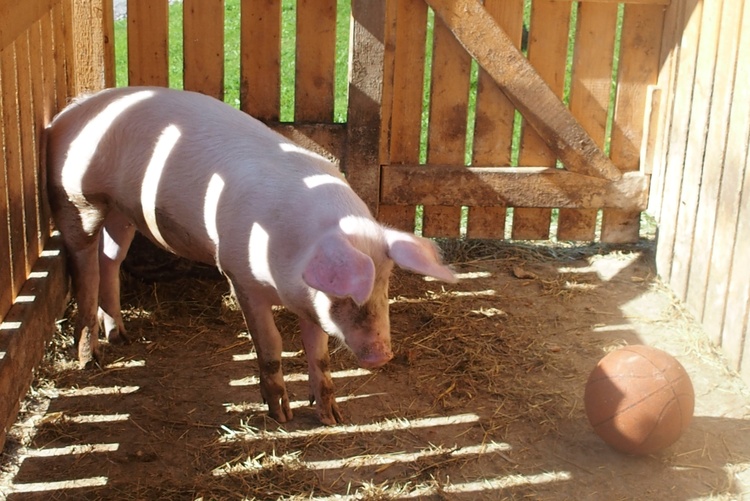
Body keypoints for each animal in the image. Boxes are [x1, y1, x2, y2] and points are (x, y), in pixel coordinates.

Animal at [45, 86, 455, 425]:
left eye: (386, 285)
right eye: (343, 294)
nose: (381, 355)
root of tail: (65, 115)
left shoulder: (308, 303)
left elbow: (319, 352)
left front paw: (331, 417)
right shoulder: (240, 277)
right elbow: (271, 345)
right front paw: (281, 416)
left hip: (122, 212)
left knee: (110, 261)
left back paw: (121, 338)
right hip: (76, 199)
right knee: (86, 268)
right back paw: (90, 358)